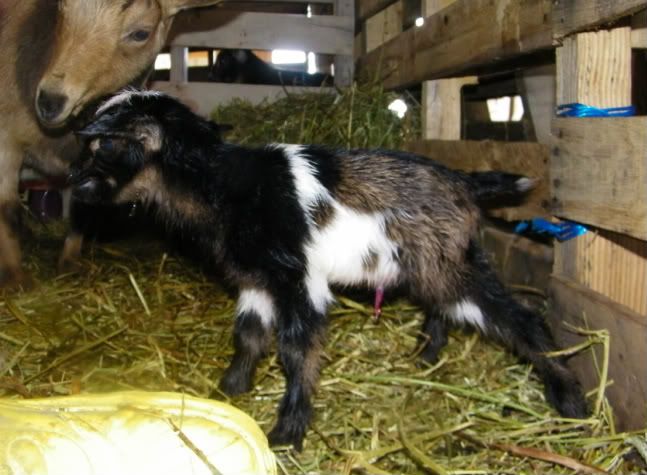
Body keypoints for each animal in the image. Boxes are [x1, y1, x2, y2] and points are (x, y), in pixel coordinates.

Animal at [0, 0, 221, 287]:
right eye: (62, 10)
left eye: (140, 34)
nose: (50, 101)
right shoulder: (6, 141)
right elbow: (7, 211)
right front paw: (16, 279)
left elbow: (83, 206)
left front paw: (70, 263)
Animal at [69, 90, 588, 451]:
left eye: (105, 144)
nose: (74, 184)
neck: (223, 186)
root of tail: (464, 181)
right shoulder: (258, 280)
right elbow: (249, 334)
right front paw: (229, 389)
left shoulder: (298, 278)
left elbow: (298, 349)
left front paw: (287, 431)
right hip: (437, 262)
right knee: (443, 307)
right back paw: (425, 358)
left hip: (450, 264)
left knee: (519, 318)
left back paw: (570, 401)